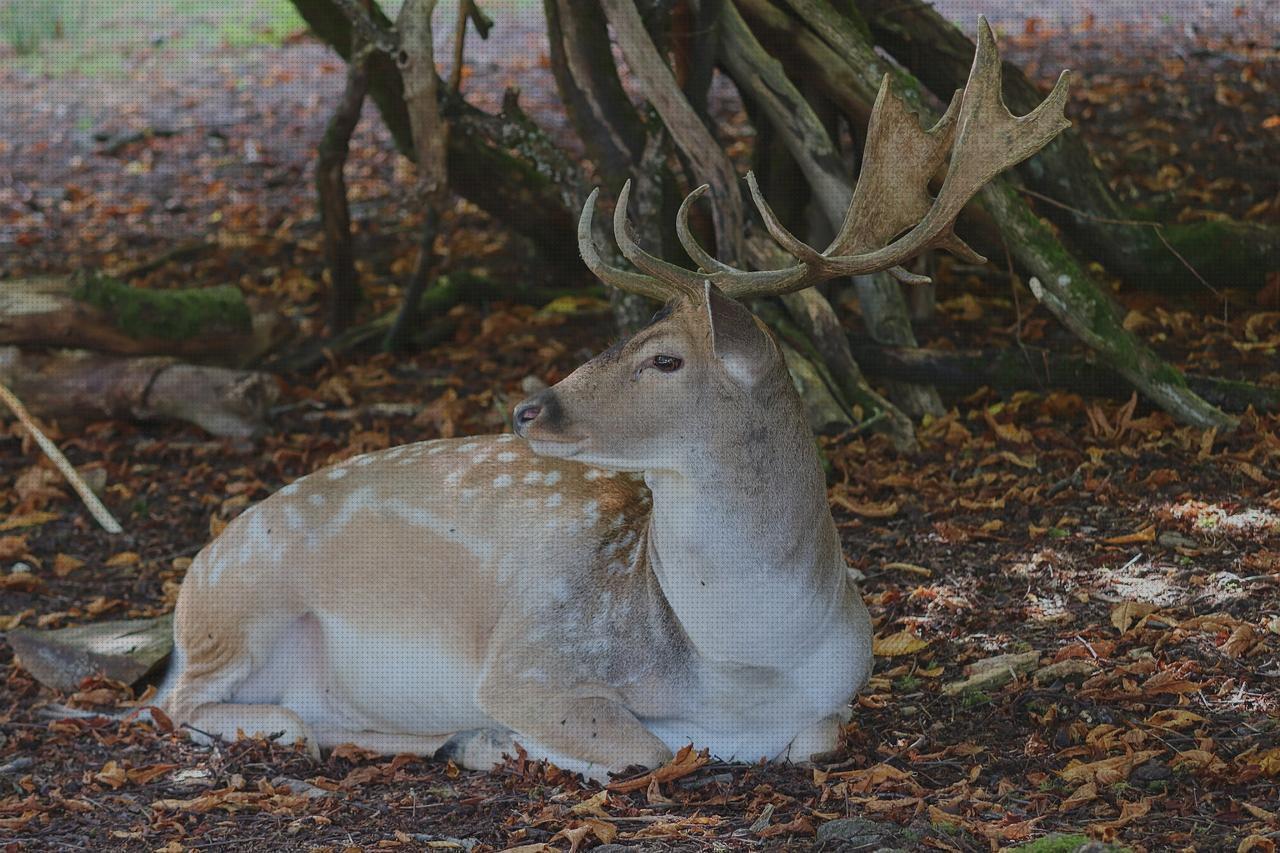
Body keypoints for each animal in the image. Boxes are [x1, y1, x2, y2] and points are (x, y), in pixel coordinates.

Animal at [152, 21, 1070, 778]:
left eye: (663, 358)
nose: (530, 409)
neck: (744, 665)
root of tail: (190, 582)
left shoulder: (841, 689)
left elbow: (814, 735)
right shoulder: (531, 658)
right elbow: (642, 747)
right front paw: (522, 739)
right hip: (243, 604)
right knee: (179, 705)